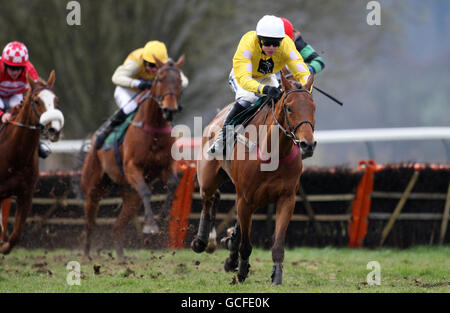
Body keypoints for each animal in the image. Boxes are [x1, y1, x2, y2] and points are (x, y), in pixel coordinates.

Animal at [0, 70, 64, 254]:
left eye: (56, 100)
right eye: (36, 101)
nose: (54, 129)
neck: (16, 156)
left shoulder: (26, 194)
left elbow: (16, 235)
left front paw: (4, 246)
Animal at [81, 54, 185, 258]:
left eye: (178, 80)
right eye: (159, 79)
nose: (169, 109)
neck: (153, 130)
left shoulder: (165, 166)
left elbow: (173, 184)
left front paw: (162, 216)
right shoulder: (132, 167)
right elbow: (146, 191)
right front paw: (151, 225)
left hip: (130, 196)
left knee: (117, 227)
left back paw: (121, 256)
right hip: (93, 186)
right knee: (90, 220)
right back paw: (88, 253)